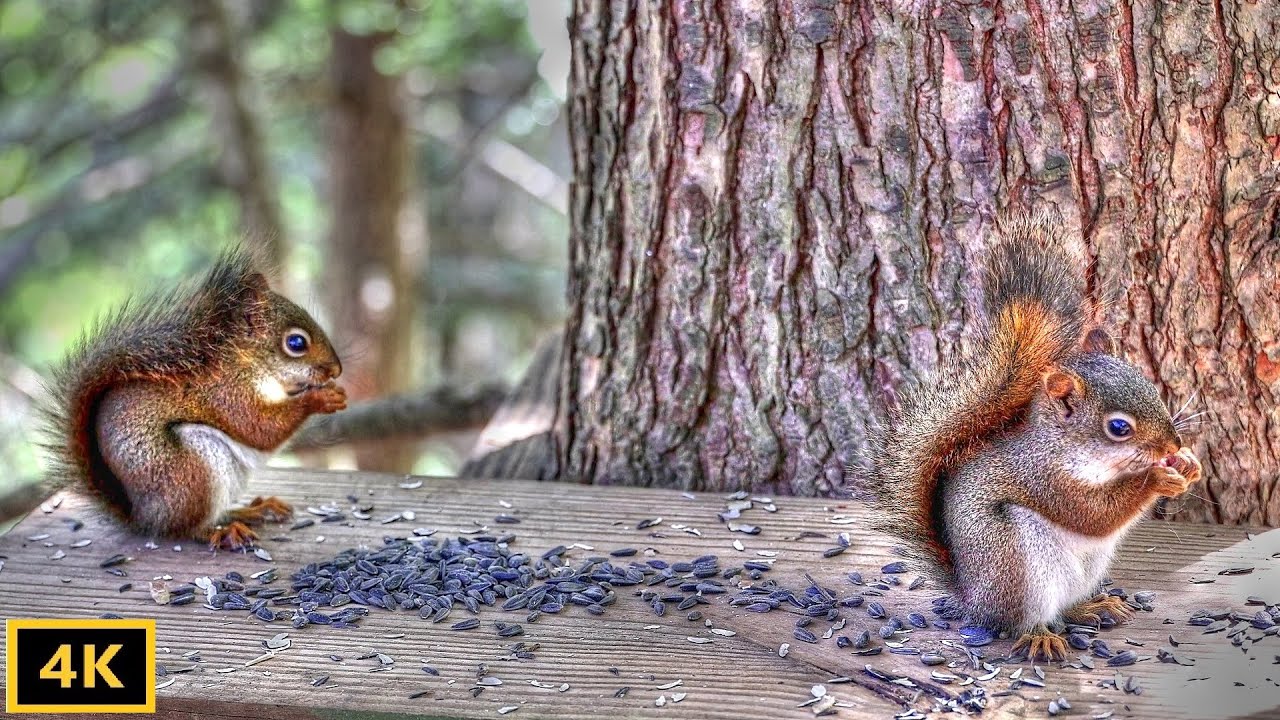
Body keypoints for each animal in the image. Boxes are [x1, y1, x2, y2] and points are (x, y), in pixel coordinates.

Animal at [42, 247, 347, 549]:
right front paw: (321, 398)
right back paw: (221, 532)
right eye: (296, 343)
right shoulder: (226, 394)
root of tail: (143, 517)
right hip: (193, 473)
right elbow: (258, 427)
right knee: (185, 529)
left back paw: (253, 510)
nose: (336, 370)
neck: (248, 363)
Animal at [862, 213, 1202, 661]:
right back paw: (1040, 635)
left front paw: (1188, 465)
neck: (1070, 448)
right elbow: (1094, 515)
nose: (1172, 446)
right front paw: (1157, 478)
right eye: (1118, 428)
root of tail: (973, 599)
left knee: (1067, 605)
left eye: (1151, 389)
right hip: (1018, 565)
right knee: (1022, 619)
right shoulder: (1044, 478)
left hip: (1085, 570)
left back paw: (1091, 607)